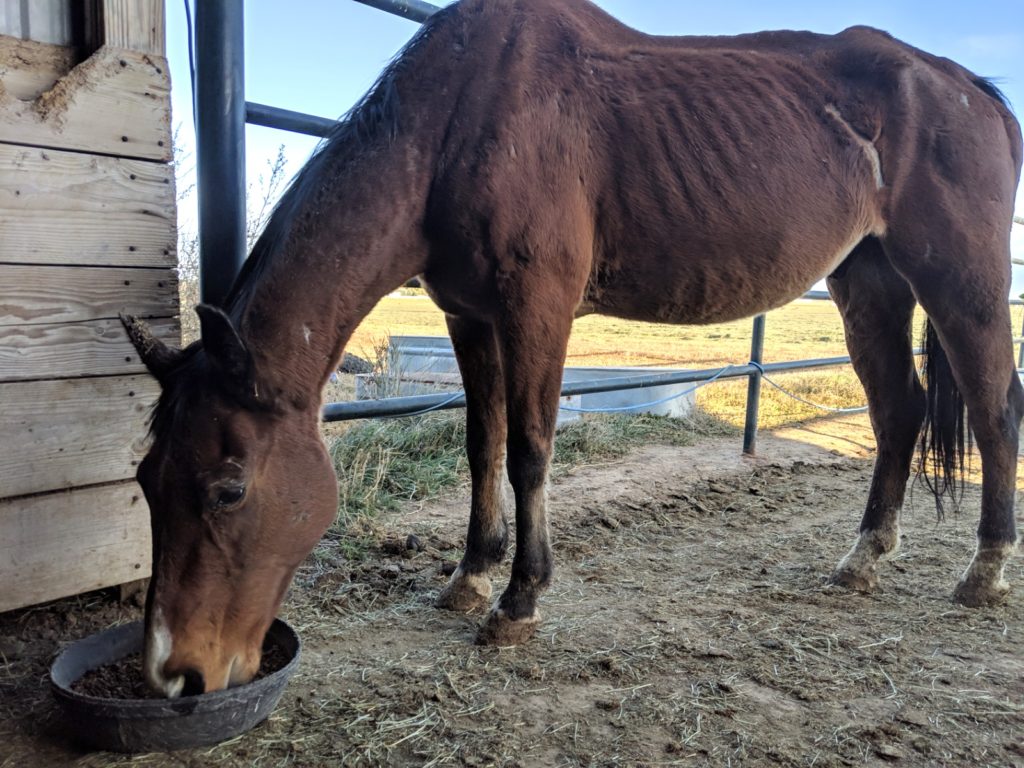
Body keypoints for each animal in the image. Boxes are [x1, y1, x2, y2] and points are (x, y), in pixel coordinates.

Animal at [119, 0, 1015, 700]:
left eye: (228, 491)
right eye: (146, 482)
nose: (175, 674)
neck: (460, 118)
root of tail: (971, 90)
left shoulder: (537, 310)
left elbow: (529, 451)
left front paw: (519, 602)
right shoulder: (469, 316)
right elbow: (481, 444)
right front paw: (471, 575)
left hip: (960, 282)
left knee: (994, 411)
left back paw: (985, 570)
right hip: (869, 280)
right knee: (898, 413)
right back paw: (862, 559)